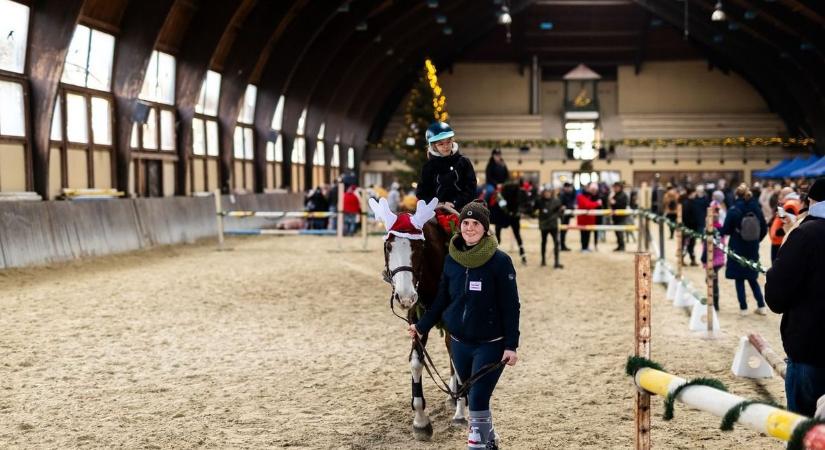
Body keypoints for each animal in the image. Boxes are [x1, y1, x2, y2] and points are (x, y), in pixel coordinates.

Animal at [366, 197, 464, 440]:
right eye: (388, 247)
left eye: (419, 247)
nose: (405, 296)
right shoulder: (416, 318)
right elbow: (416, 362)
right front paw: (420, 421)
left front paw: (461, 412)